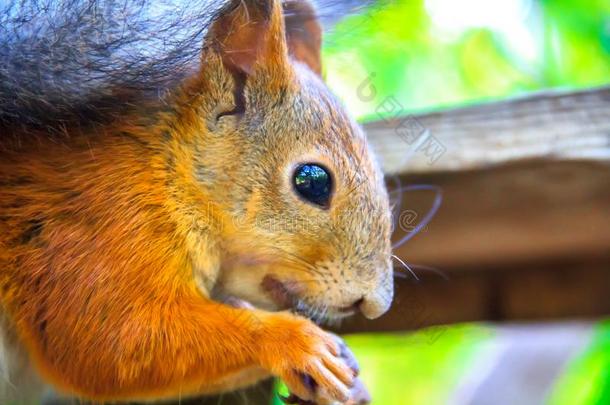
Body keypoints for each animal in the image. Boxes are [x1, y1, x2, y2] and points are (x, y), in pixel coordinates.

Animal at [0, 0, 390, 404]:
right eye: (312, 182)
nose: (375, 304)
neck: (170, 175)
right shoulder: (94, 232)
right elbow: (111, 344)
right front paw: (294, 342)